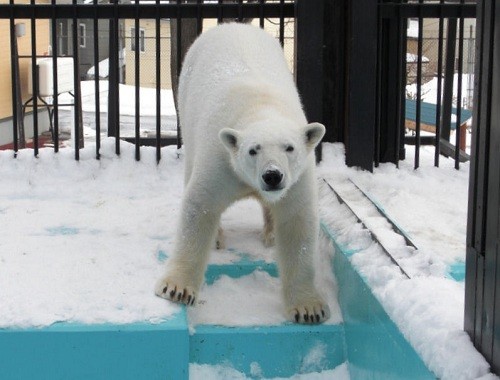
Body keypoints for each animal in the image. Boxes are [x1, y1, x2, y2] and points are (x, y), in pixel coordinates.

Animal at [154, 23, 330, 324]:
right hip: (187, 108)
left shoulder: (298, 179)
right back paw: (218, 236)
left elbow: (297, 223)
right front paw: (177, 288)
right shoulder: (221, 160)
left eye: (289, 147)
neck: (261, 107)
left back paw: (271, 234)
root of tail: (231, 25)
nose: (272, 176)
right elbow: (200, 206)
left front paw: (309, 309)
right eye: (253, 150)